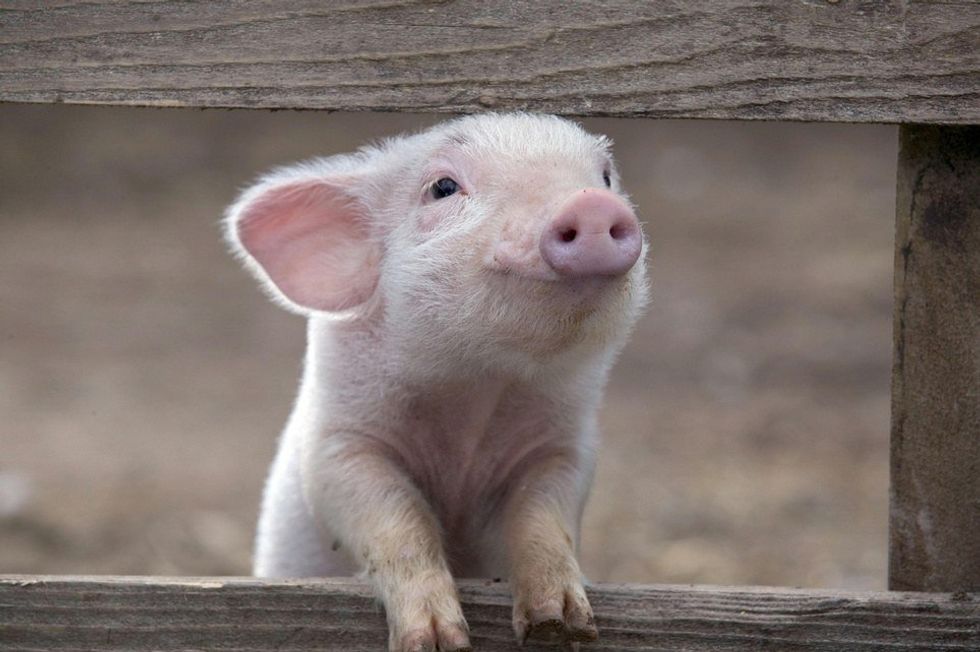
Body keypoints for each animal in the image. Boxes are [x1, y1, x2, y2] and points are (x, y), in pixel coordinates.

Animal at [225, 113, 648, 651]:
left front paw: (562, 624)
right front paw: (436, 640)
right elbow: (397, 521)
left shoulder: (565, 450)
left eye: (606, 177)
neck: (476, 392)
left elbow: (544, 519)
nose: (592, 202)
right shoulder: (338, 447)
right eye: (443, 187)